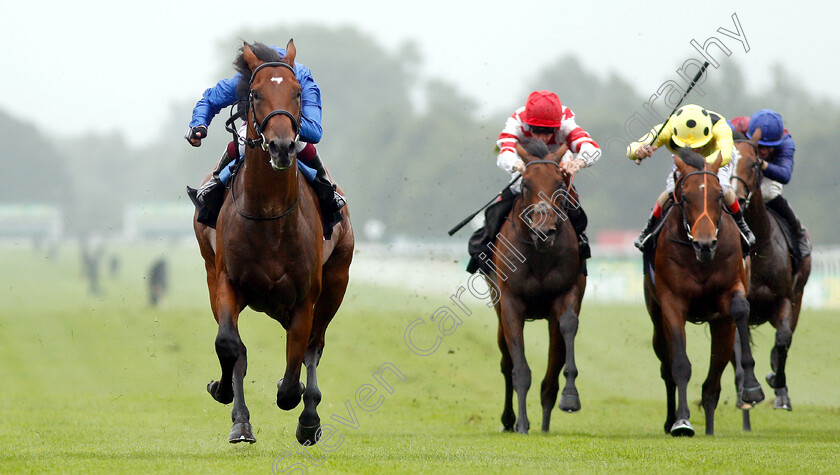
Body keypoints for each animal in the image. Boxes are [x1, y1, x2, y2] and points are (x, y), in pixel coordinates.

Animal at [194, 41, 354, 446]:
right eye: (254, 93)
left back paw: (309, 417)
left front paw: (296, 399)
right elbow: (229, 345)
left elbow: (297, 361)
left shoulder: (306, 296)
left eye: (297, 93)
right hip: (210, 271)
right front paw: (225, 396)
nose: (282, 146)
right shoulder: (226, 281)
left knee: (314, 346)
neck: (269, 214)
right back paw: (241, 421)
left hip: (336, 282)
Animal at [488, 139, 588, 436]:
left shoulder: (567, 293)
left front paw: (570, 397)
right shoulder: (510, 304)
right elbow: (518, 368)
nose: (544, 231)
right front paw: (521, 423)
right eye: (526, 184)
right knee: (506, 361)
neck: (539, 254)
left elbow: (568, 326)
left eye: (560, 183)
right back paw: (509, 420)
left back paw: (544, 422)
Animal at [648, 147, 764, 436]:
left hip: (720, 324)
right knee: (666, 366)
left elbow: (740, 309)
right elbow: (679, 364)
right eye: (685, 197)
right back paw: (672, 420)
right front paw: (682, 421)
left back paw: (710, 428)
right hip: (656, 318)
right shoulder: (671, 302)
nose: (705, 244)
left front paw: (752, 388)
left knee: (713, 380)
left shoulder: (729, 294)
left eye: (719, 196)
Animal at [732, 134, 812, 432]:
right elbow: (739, 348)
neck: (759, 249)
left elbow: (783, 339)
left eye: (755, 163)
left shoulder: (785, 299)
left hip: (799, 297)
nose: (737, 197)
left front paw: (777, 384)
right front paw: (746, 392)